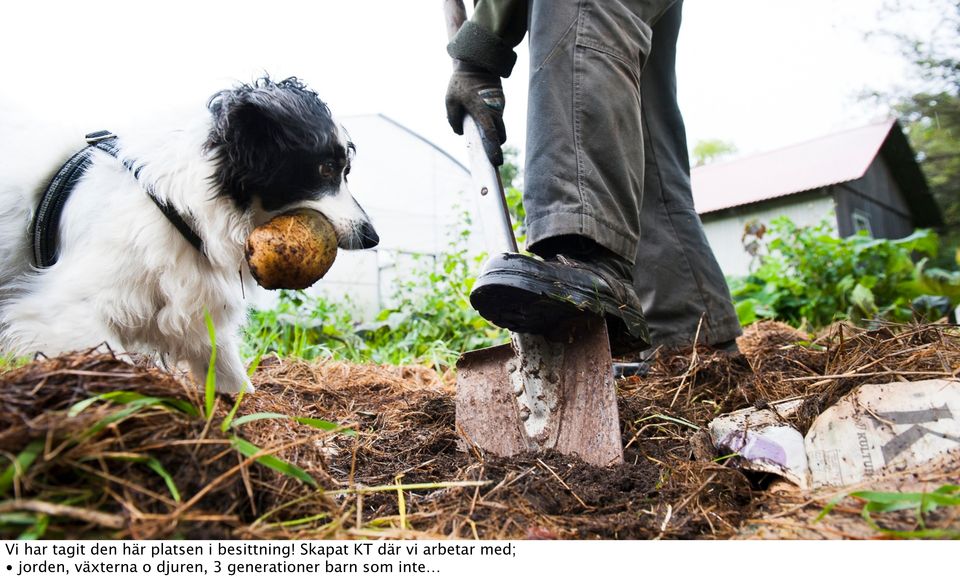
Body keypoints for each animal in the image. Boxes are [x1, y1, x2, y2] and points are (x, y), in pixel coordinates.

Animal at [0, 75, 376, 392]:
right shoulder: (62, 312)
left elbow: (235, 383)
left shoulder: (198, 316)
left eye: (344, 170)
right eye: (325, 169)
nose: (372, 237)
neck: (174, 207)